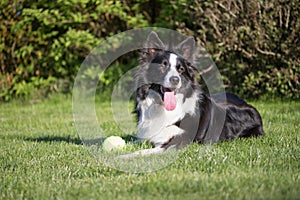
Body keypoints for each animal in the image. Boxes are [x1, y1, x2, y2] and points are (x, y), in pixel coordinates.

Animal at [121, 30, 262, 156]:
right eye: (163, 65)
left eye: (181, 69)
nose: (175, 79)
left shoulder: (178, 142)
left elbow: (140, 152)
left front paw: (121, 158)